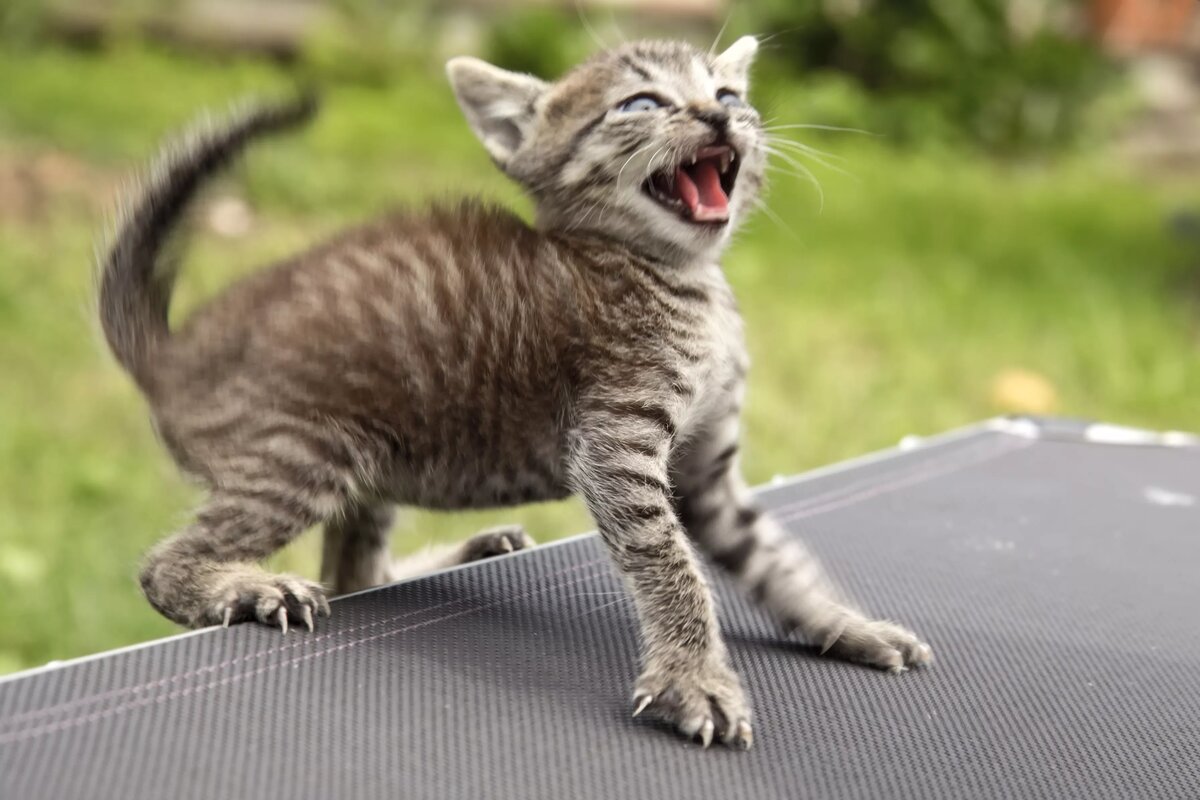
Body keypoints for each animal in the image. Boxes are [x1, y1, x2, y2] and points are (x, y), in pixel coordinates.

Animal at [98, 35, 931, 753]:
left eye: (728, 94)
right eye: (641, 103)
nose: (718, 116)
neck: (684, 280)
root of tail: (178, 348)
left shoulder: (707, 477)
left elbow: (776, 559)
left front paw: (842, 623)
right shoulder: (615, 446)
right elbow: (672, 566)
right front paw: (692, 680)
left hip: (371, 464)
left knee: (358, 573)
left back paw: (463, 550)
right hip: (306, 454)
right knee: (167, 565)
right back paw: (246, 588)